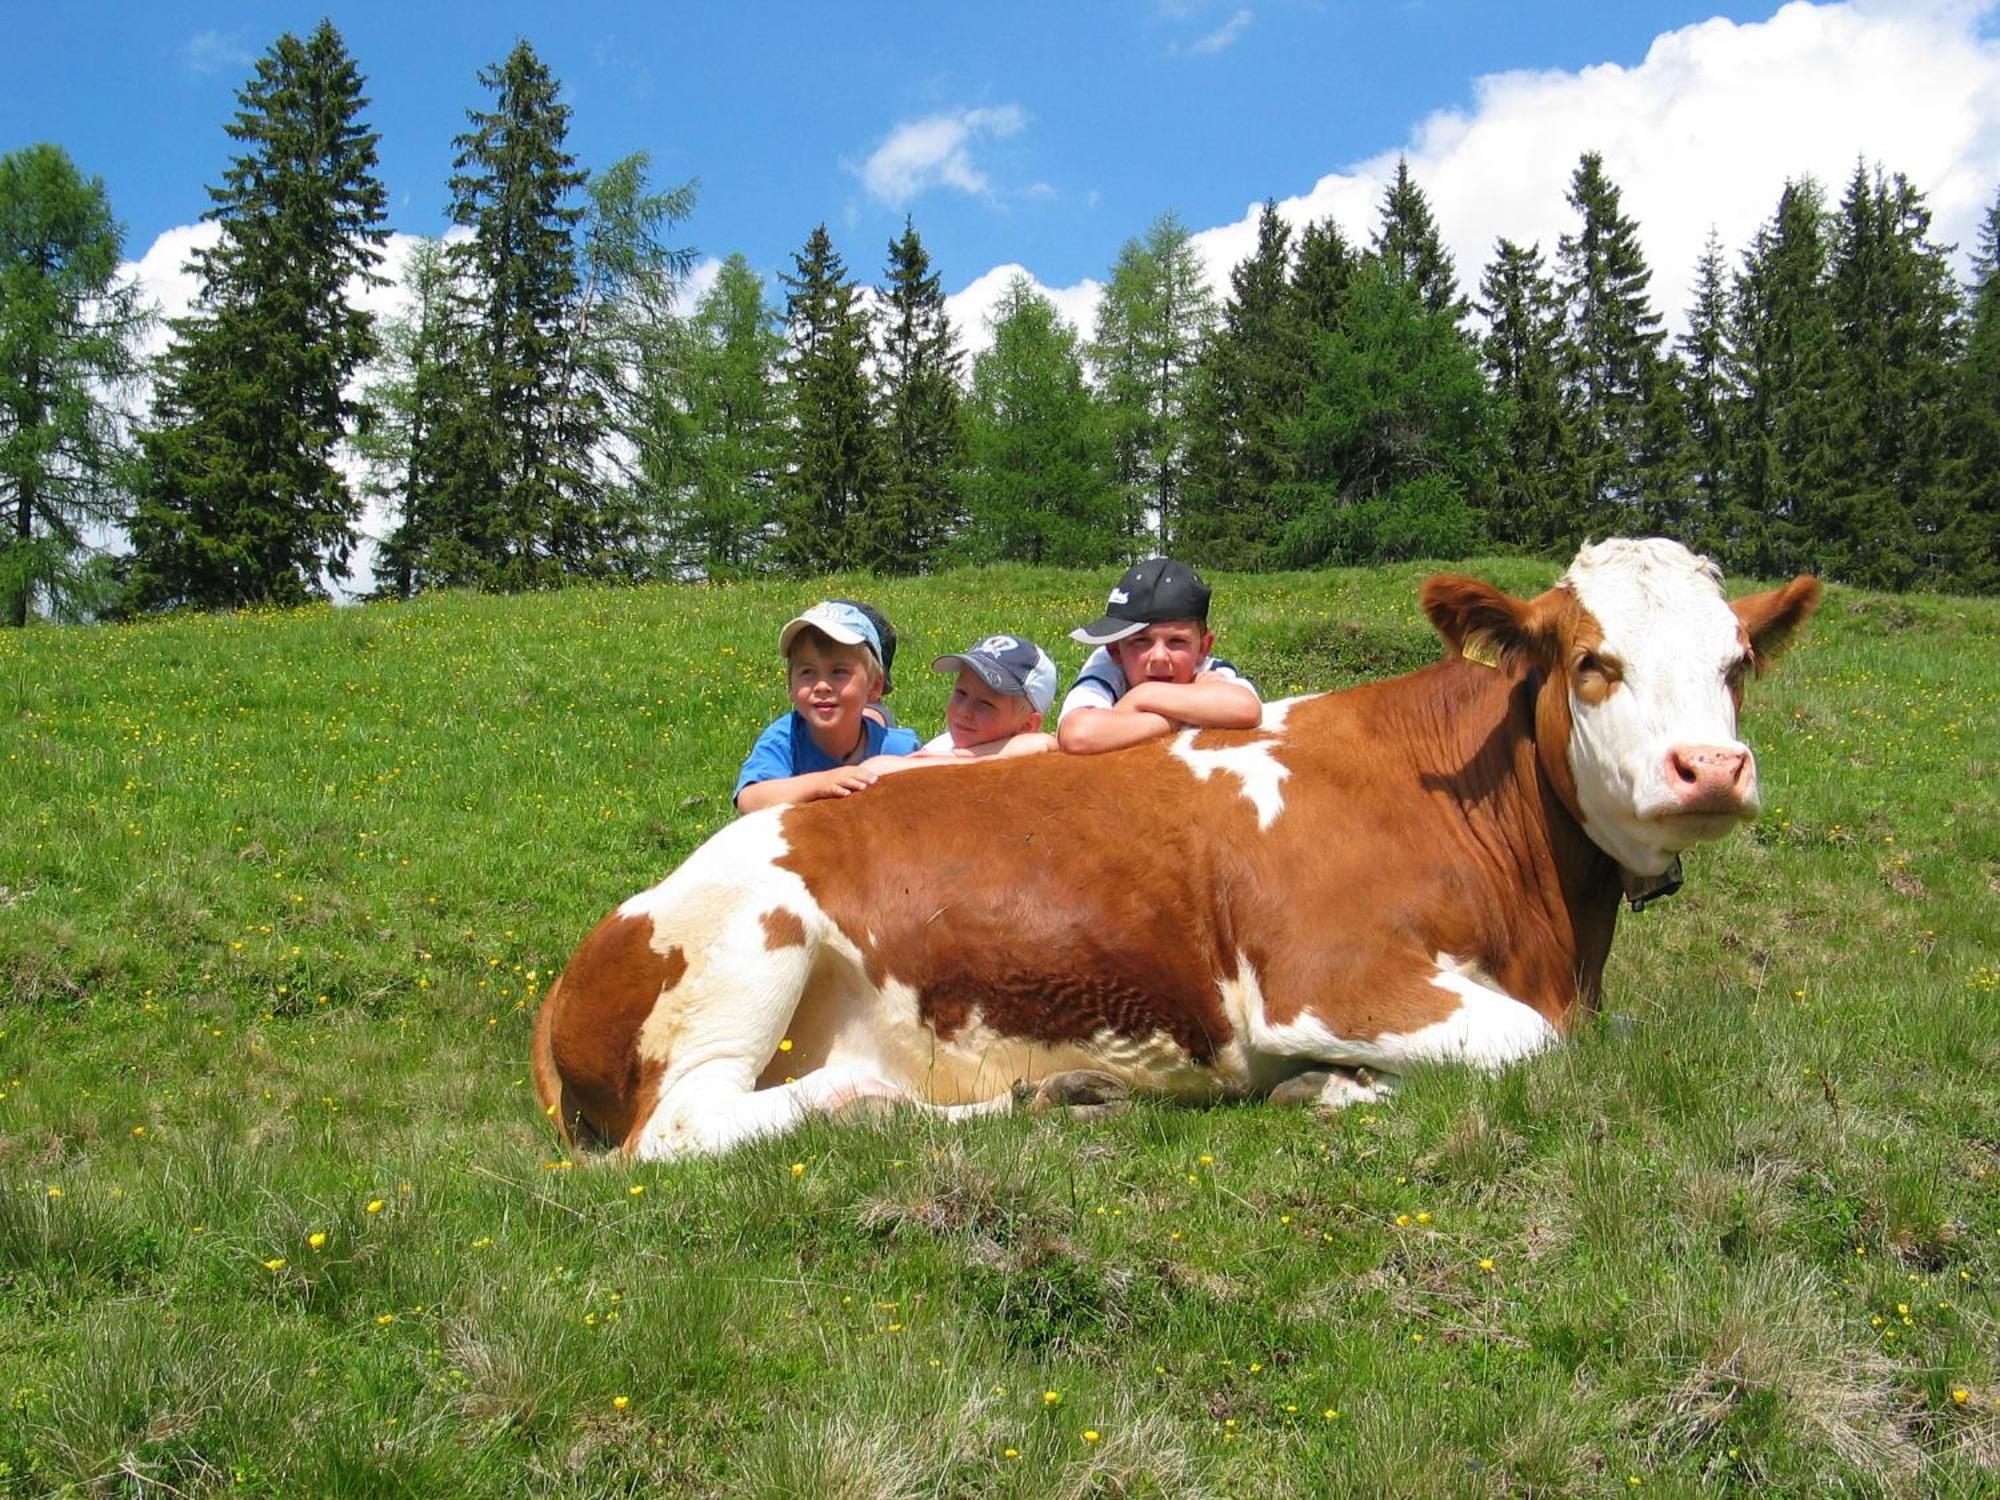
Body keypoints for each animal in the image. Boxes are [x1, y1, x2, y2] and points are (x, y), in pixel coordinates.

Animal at [532, 540, 1816, 1160]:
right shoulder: (1328, 981)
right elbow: (1528, 1048)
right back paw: (866, 1096)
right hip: (751, 942)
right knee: (681, 1130)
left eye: (1734, 663)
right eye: (1592, 661)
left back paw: (1053, 1095)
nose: (1708, 768)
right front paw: (1332, 1089)